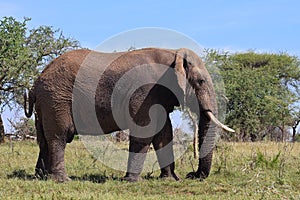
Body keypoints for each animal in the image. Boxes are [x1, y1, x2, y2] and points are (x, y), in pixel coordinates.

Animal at [24, 47, 234, 182]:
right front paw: (133, 181)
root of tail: (36, 83)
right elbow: (145, 131)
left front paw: (169, 180)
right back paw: (62, 180)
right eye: (200, 82)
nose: (193, 175)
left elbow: (164, 134)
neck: (173, 54)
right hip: (56, 99)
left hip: (46, 103)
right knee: (59, 136)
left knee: (43, 139)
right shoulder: (145, 92)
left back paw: (40, 177)